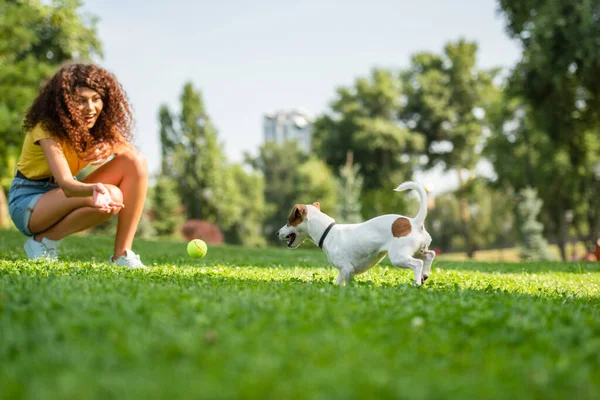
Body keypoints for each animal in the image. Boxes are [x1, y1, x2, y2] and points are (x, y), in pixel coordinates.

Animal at [276, 183, 436, 286]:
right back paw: (424, 275)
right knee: (430, 255)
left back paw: (416, 283)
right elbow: (337, 283)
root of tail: (414, 222)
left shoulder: (347, 270)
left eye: (289, 221)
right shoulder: (342, 271)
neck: (328, 232)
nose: (278, 232)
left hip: (398, 256)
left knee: (418, 263)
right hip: (418, 250)